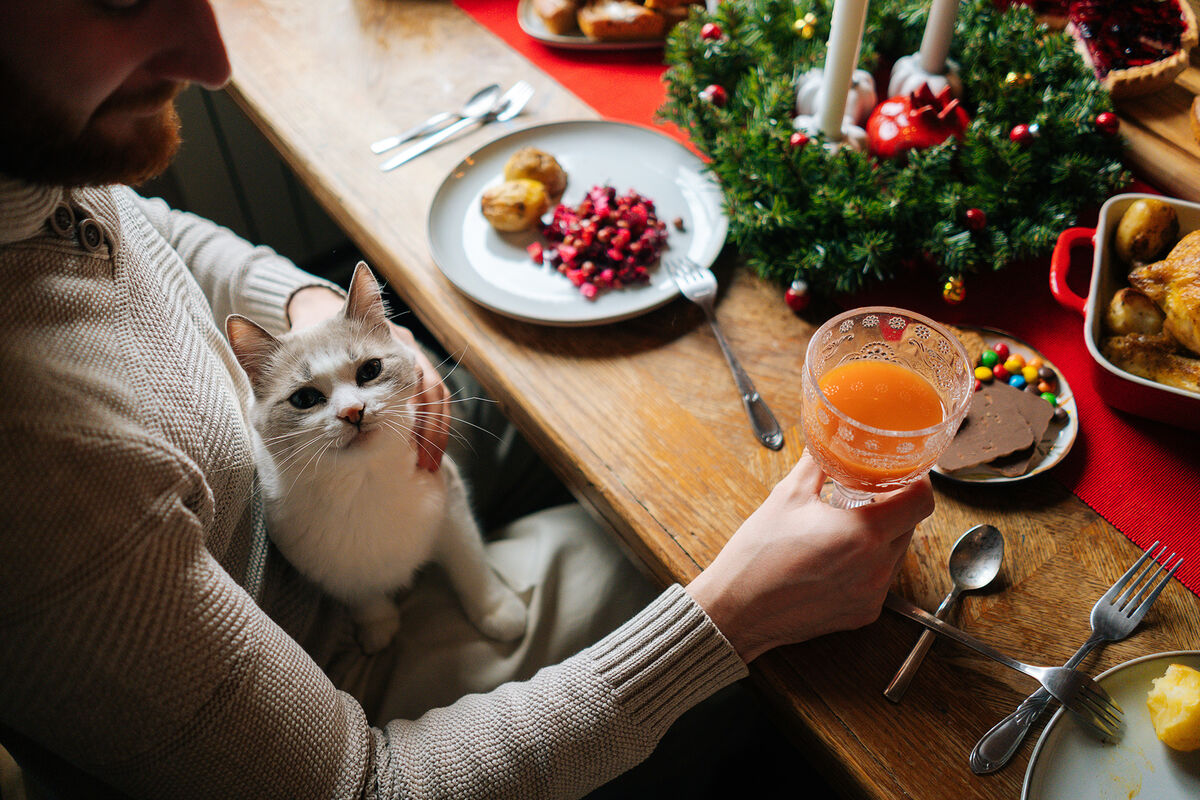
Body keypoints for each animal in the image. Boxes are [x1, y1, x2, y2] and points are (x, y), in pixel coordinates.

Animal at [225, 261, 525, 652]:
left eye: (370, 370)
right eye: (304, 399)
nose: (353, 411)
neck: (363, 484)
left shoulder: (452, 507)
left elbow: (471, 565)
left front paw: (496, 611)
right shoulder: (324, 565)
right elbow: (360, 592)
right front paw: (377, 625)